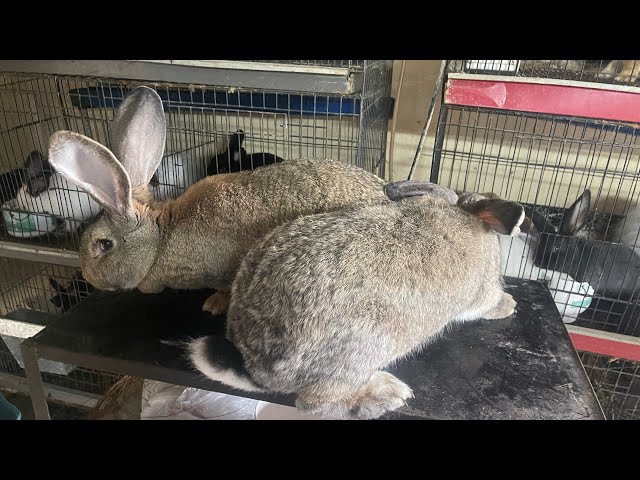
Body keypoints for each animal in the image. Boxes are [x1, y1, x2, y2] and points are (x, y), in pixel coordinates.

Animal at [187, 190, 525, 420]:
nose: (512, 304)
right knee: (316, 402)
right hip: (365, 348)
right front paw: (508, 304)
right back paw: (384, 394)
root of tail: (257, 366)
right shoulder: (482, 292)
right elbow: (487, 302)